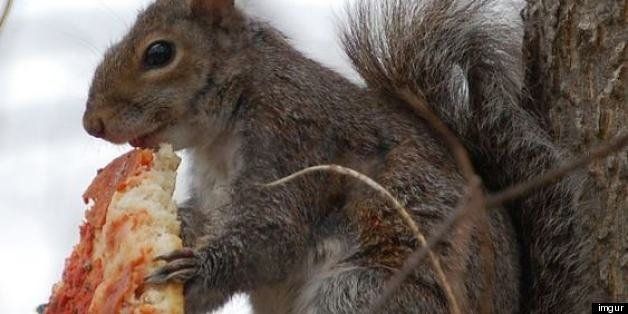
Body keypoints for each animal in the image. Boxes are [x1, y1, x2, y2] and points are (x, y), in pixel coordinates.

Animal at [83, 0, 600, 312]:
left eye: (159, 53)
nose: (93, 123)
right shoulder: (214, 190)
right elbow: (204, 218)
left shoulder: (293, 141)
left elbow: (271, 236)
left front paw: (192, 271)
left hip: (372, 289)